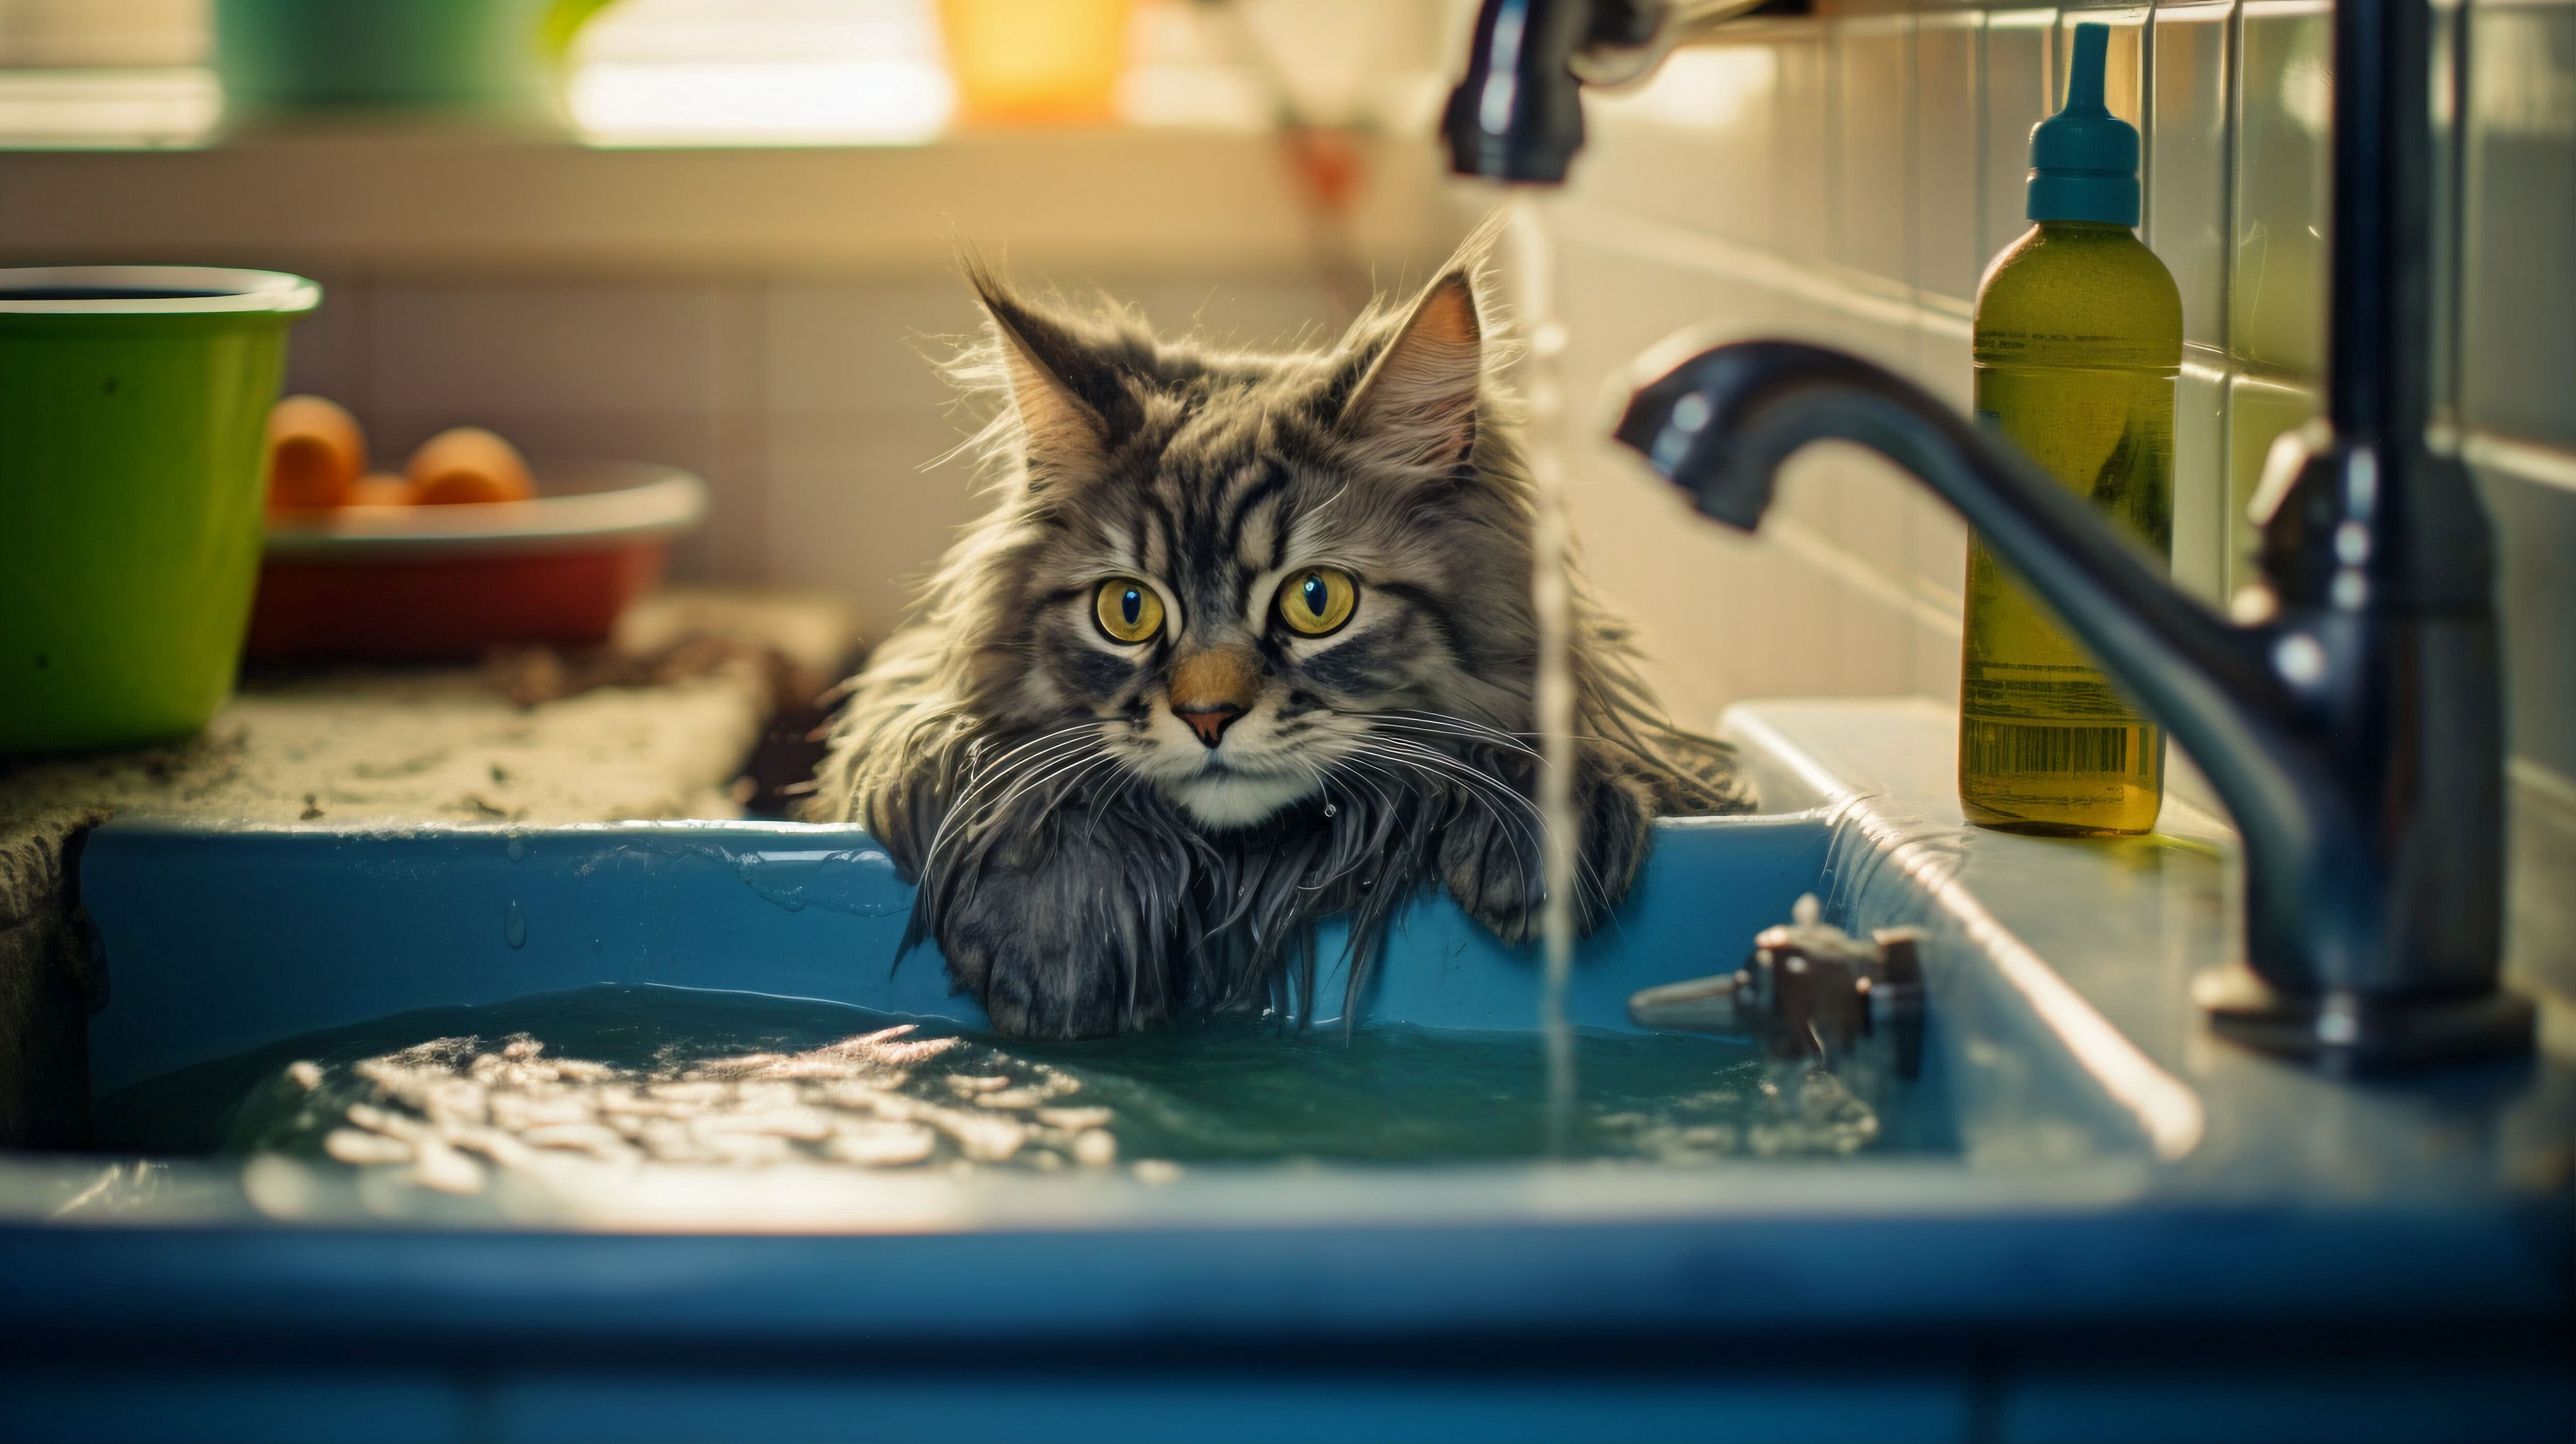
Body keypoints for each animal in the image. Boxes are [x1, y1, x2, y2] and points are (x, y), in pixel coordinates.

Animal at [814, 240, 1762, 1036]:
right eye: (1129, 610)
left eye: (1316, 600)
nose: (1207, 717)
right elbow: (1020, 779)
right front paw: (1056, 939)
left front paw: (1536, 827)